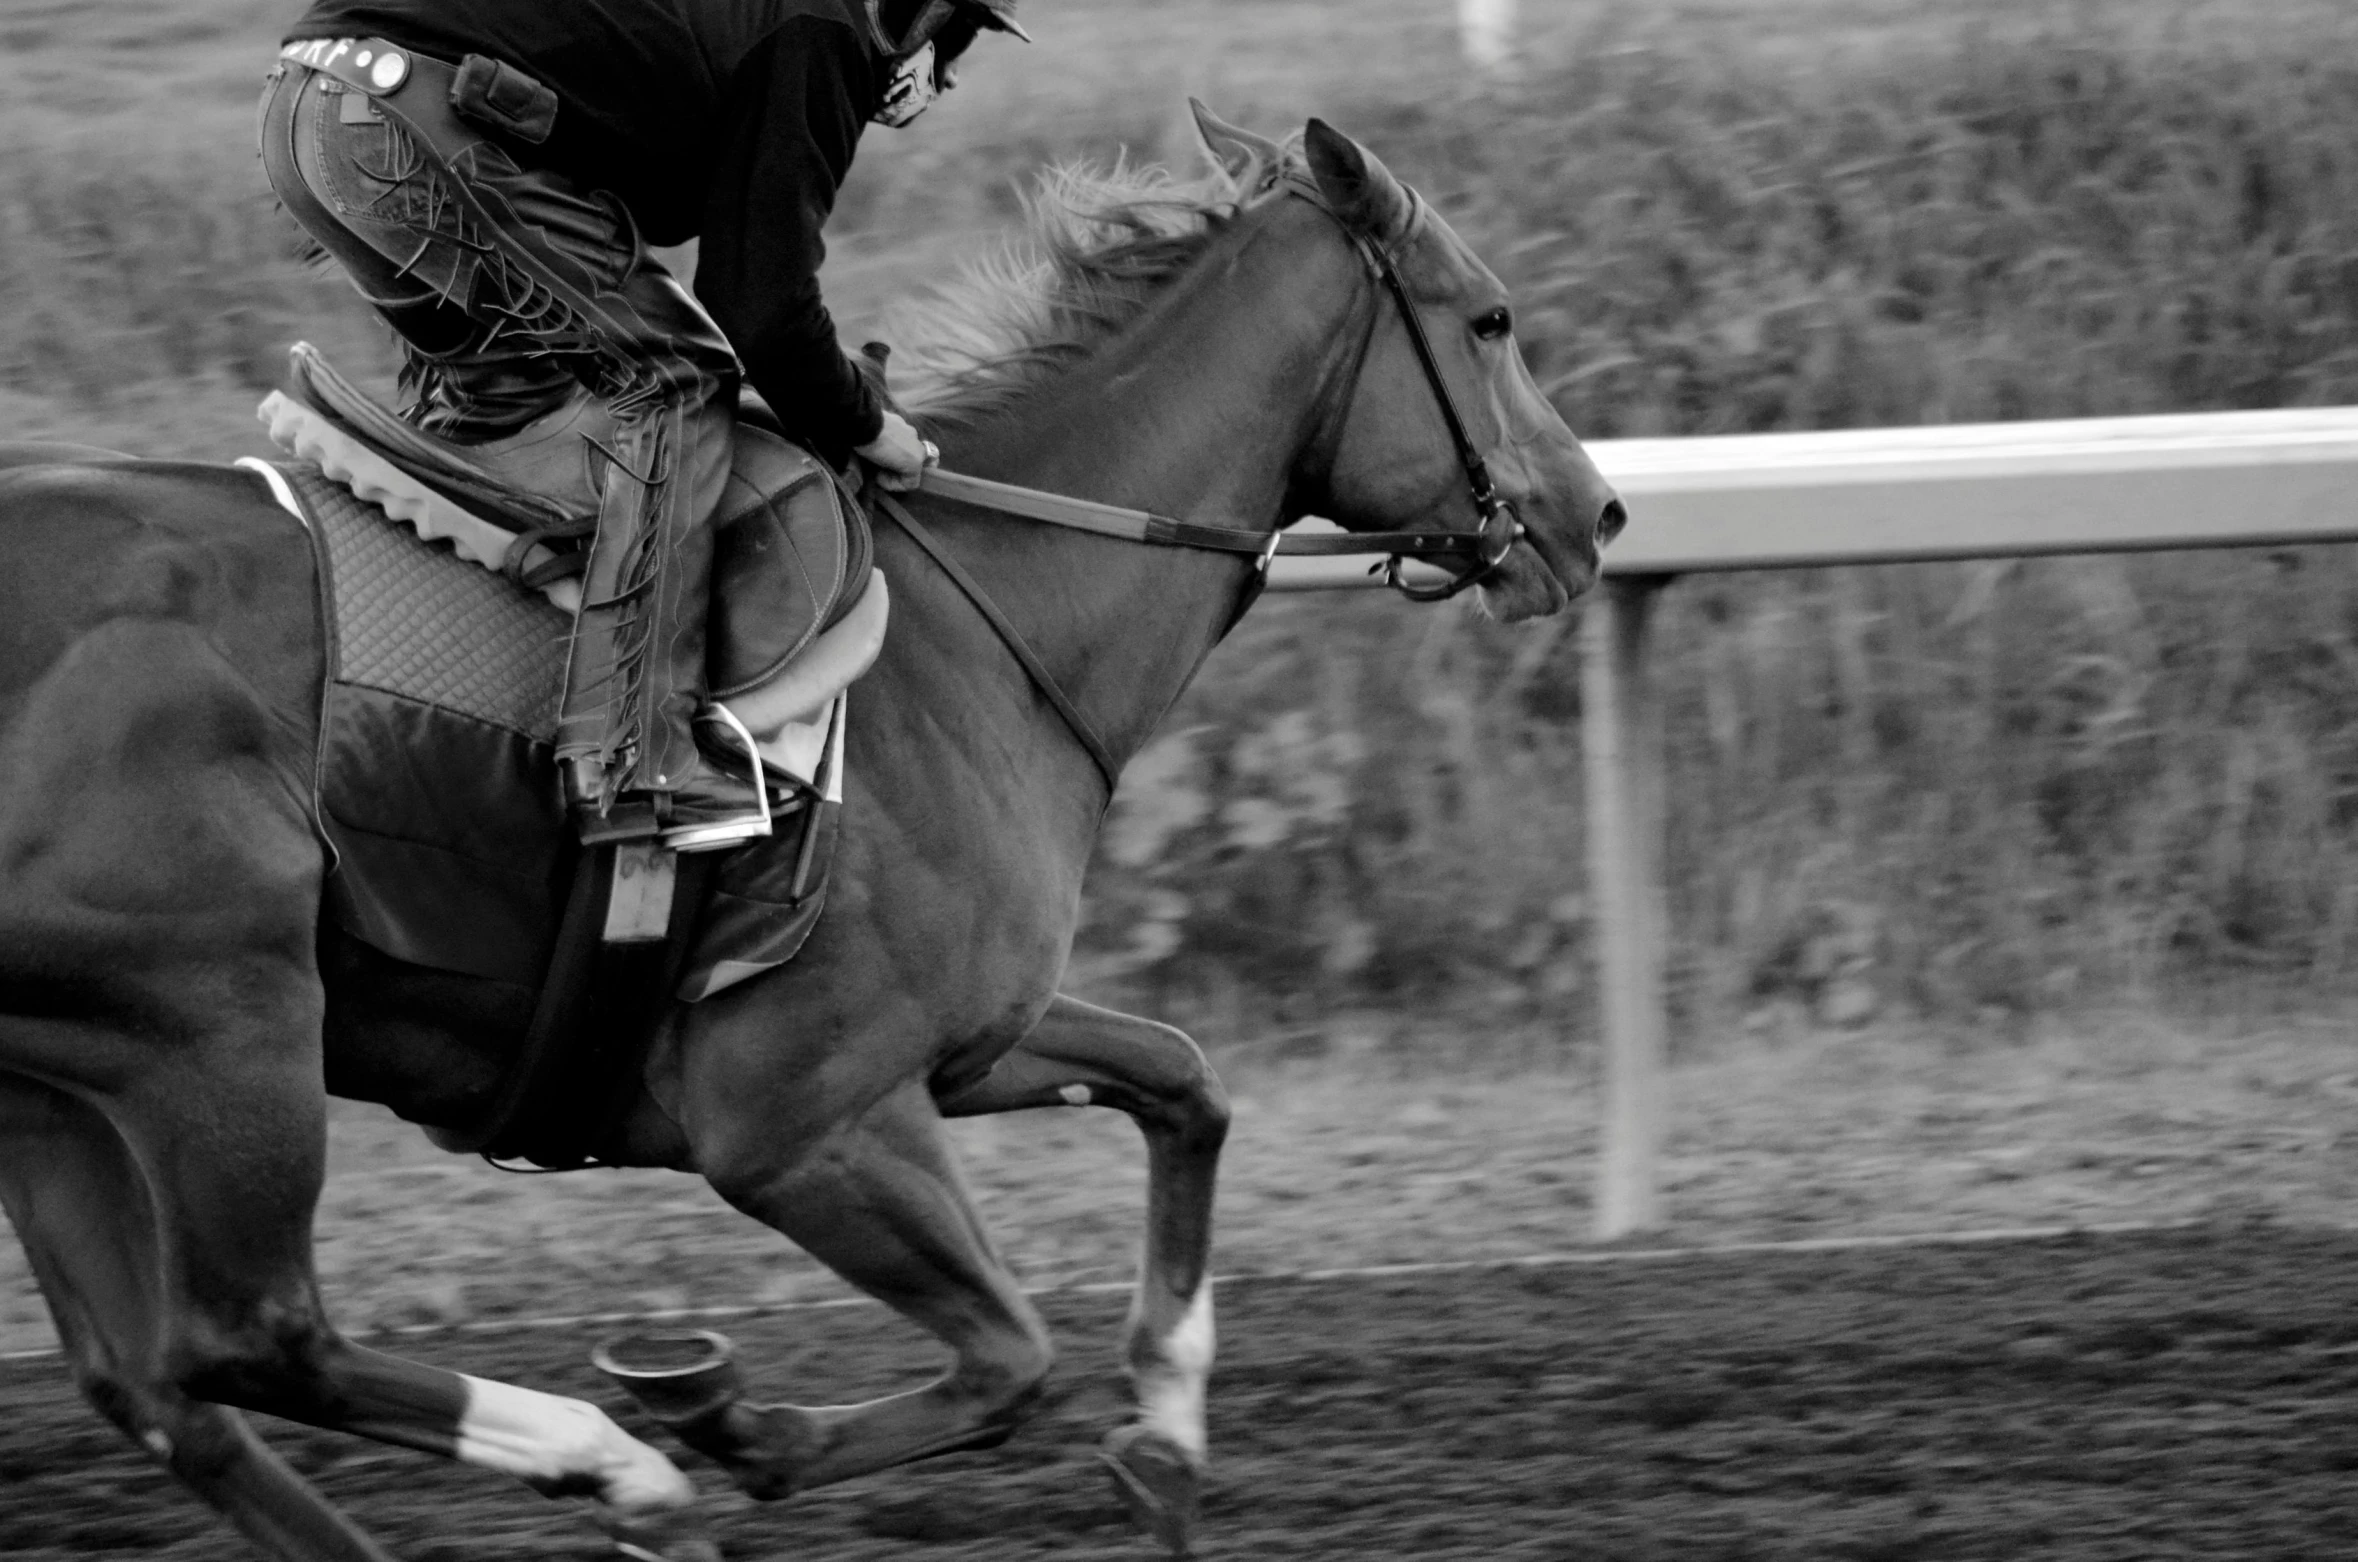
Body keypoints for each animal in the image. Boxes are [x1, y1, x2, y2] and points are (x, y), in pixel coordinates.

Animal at [0, 110, 1622, 1562]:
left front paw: (1164, 1435)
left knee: (160, 1389)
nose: (1593, 515)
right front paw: (733, 1425)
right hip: (226, 1025)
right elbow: (1008, 1357)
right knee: (248, 1337)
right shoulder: (797, 1118)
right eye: (1488, 318)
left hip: (70, 1084)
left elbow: (1184, 1081)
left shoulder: (954, 1046)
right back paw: (629, 1470)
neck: (988, 605)